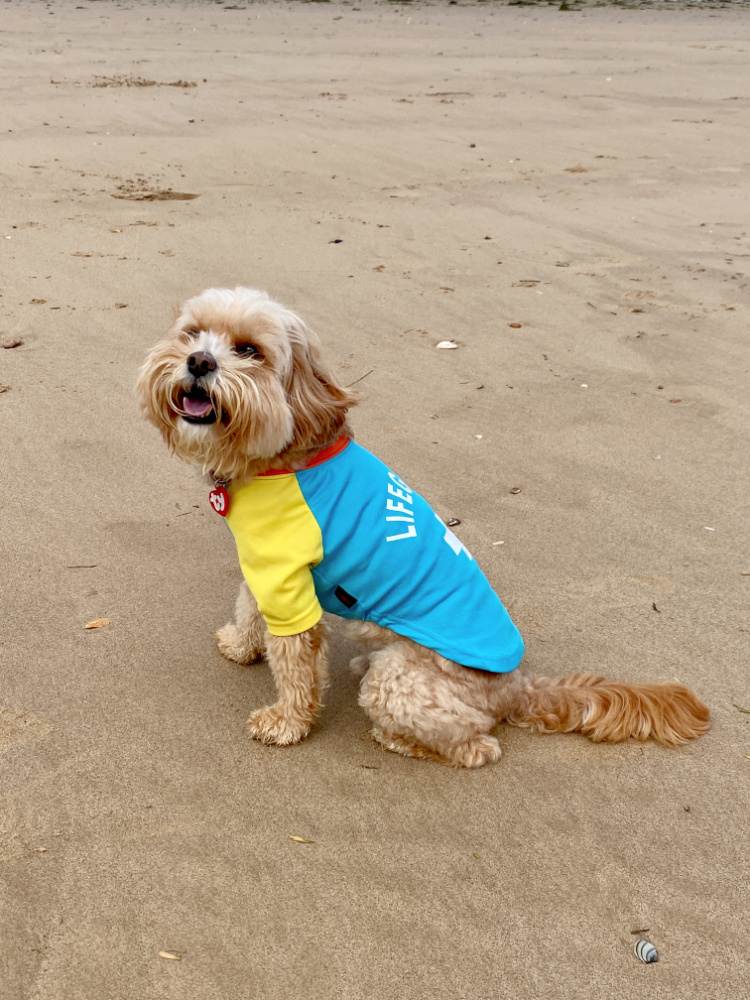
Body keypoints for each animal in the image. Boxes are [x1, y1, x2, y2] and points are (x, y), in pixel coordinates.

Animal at [137, 286, 712, 768]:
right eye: (193, 333)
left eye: (250, 350)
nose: (199, 361)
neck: (281, 458)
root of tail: (517, 686)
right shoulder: (262, 567)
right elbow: (247, 606)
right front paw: (240, 644)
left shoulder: (288, 584)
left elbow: (295, 666)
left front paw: (285, 723)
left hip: (402, 682)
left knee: (477, 747)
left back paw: (400, 740)